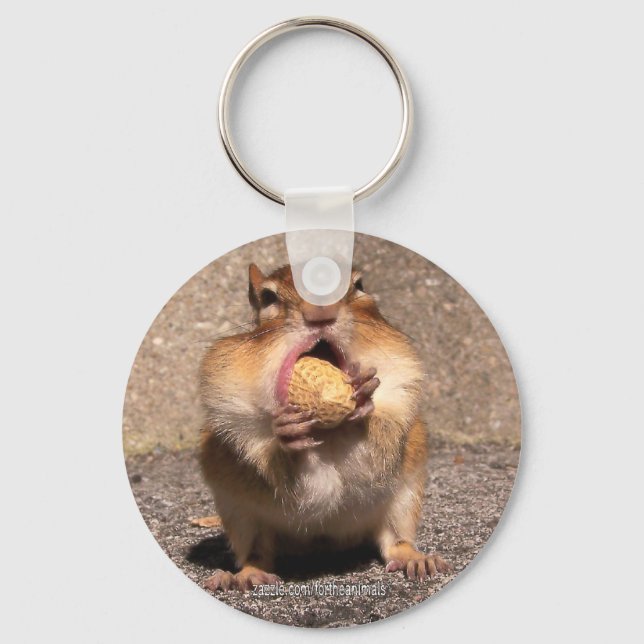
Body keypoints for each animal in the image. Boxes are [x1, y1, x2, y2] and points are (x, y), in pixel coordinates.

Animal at [199, 263, 450, 591]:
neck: (327, 434)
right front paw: (288, 437)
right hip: (240, 515)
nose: (321, 310)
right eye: (268, 297)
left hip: (405, 498)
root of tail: (321, 545)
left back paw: (417, 559)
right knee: (257, 553)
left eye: (359, 285)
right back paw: (245, 574)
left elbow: (373, 454)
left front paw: (363, 402)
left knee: (395, 542)